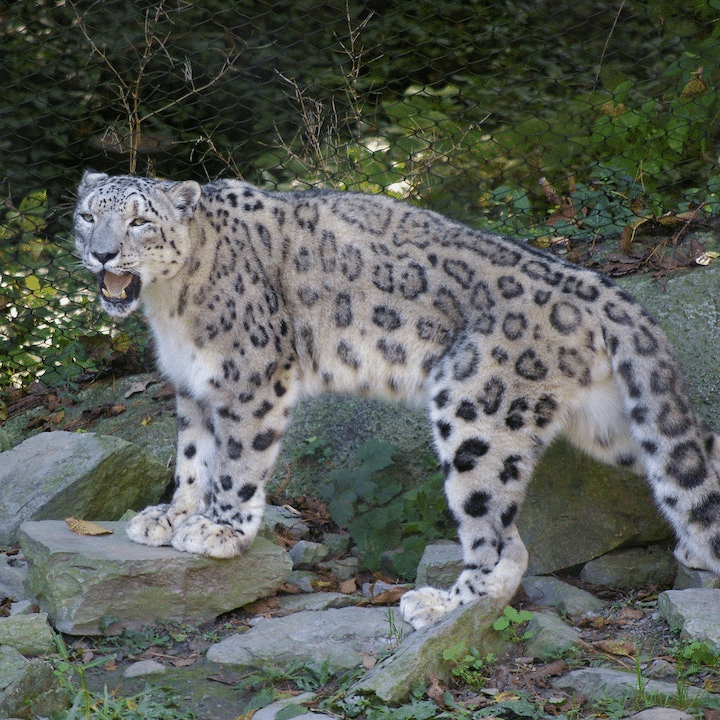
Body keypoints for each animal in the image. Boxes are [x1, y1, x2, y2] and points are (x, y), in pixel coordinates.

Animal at [71, 172, 720, 628]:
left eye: (139, 221)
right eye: (86, 216)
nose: (102, 254)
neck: (168, 307)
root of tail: (602, 289)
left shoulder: (248, 377)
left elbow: (235, 463)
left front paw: (220, 530)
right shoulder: (192, 387)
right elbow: (190, 457)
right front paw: (171, 515)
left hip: (475, 414)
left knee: (497, 539)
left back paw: (438, 604)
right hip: (610, 423)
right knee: (688, 459)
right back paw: (693, 547)